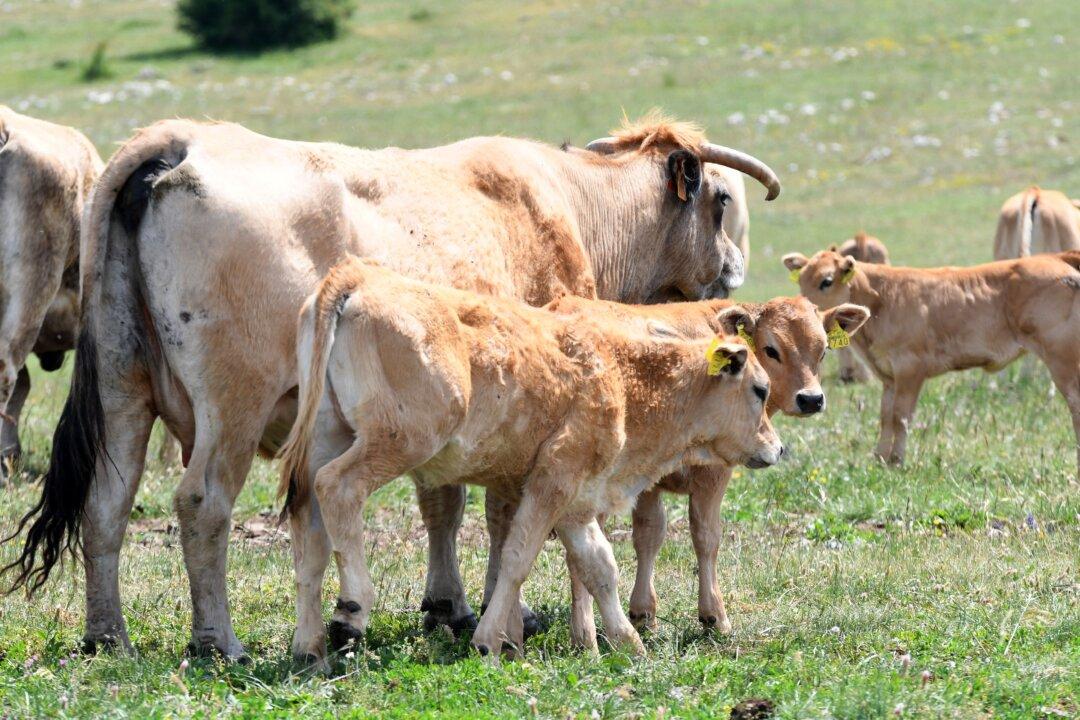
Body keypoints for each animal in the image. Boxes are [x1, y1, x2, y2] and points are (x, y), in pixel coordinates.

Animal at [277, 257, 785, 665]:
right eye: (760, 388)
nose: (777, 448)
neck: (623, 374)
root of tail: (358, 276)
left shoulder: (578, 500)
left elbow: (599, 566)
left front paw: (627, 642)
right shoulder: (552, 481)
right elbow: (519, 557)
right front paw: (489, 641)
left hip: (327, 439)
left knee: (309, 529)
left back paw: (309, 646)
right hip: (397, 443)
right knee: (338, 488)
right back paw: (351, 611)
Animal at [533, 294, 868, 644]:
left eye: (823, 349)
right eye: (772, 349)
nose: (811, 399)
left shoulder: (649, 483)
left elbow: (649, 535)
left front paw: (644, 612)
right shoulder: (713, 474)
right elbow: (706, 537)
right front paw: (714, 615)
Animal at [782, 248, 1080, 474]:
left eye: (826, 281)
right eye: (800, 282)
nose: (803, 311)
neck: (882, 300)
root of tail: (1056, 256)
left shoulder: (910, 369)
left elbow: (900, 416)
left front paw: (896, 461)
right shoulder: (889, 376)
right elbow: (885, 416)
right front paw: (880, 457)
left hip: (1062, 358)